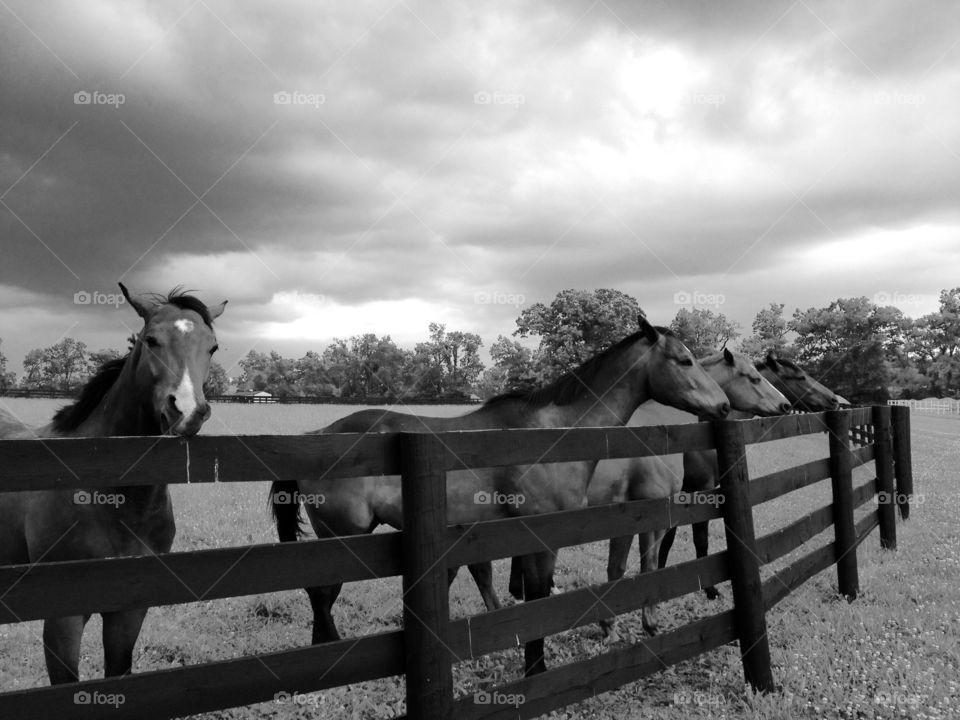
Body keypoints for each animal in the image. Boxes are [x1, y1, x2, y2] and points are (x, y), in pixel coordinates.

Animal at [270, 316, 728, 676]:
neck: (550, 432)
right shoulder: (541, 537)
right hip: (342, 538)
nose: (723, 406)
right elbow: (537, 597)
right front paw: (536, 669)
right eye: (684, 360)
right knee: (322, 596)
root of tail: (316, 436)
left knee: (321, 597)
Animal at [652, 352, 840, 600]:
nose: (834, 400)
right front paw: (710, 590)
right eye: (800, 377)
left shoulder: (682, 494)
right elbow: (699, 540)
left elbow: (667, 540)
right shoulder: (699, 491)